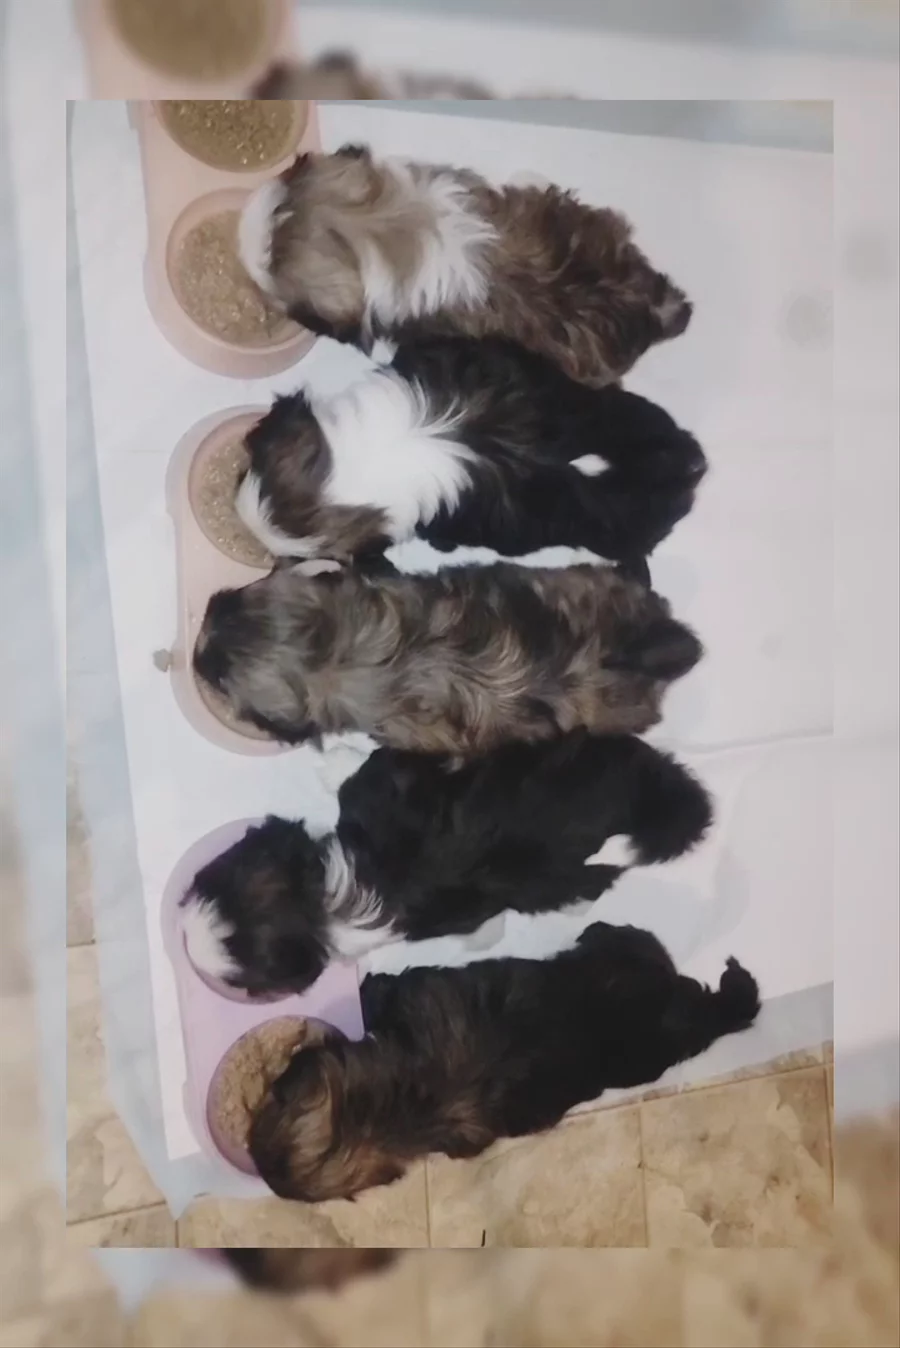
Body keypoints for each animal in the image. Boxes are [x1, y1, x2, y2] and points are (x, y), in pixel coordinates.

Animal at [181, 732, 712, 997]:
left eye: (213, 877)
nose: (184, 930)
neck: (321, 906)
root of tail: (653, 800)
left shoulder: (385, 782)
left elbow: (363, 766)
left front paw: (334, 761)